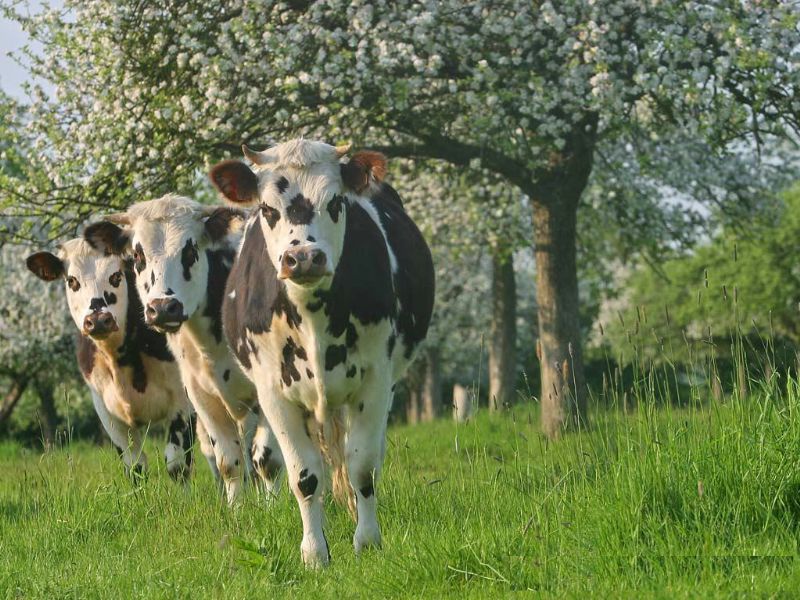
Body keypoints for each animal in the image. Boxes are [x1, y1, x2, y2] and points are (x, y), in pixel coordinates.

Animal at [26, 238, 208, 480]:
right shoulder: (106, 410)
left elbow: (177, 465)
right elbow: (135, 468)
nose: (98, 320)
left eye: (116, 276)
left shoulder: (183, 400)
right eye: (72, 280)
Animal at [84, 197, 284, 504]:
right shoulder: (201, 396)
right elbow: (229, 462)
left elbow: (267, 459)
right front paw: (238, 508)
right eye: (138, 256)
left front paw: (273, 508)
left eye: (190, 251)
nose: (164, 308)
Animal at [208, 139, 434, 567]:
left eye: (336, 202)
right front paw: (314, 553)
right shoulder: (274, 393)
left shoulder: (375, 381)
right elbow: (305, 475)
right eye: (267, 209)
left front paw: (367, 541)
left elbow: (362, 465)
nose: (304, 257)